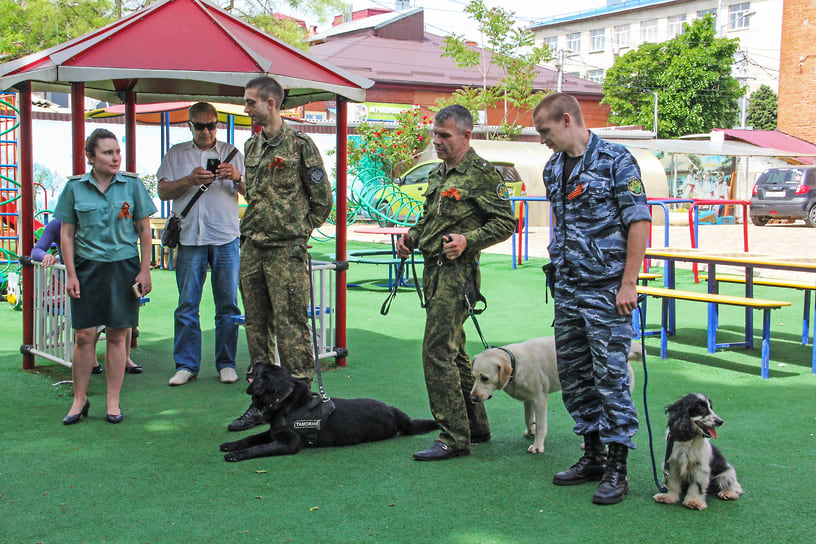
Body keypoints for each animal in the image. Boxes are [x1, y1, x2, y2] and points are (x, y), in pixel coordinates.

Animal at [217, 364, 434, 462]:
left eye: (259, 368)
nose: (254, 362)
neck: (284, 399)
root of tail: (394, 411)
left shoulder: (288, 442)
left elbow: (258, 448)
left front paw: (236, 454)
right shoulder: (273, 432)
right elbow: (251, 438)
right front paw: (231, 445)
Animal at [472, 338, 644, 452]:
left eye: (485, 378)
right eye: (473, 377)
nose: (472, 398)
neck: (515, 363)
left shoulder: (540, 399)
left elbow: (541, 426)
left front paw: (537, 446)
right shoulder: (528, 399)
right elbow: (528, 419)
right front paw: (530, 431)